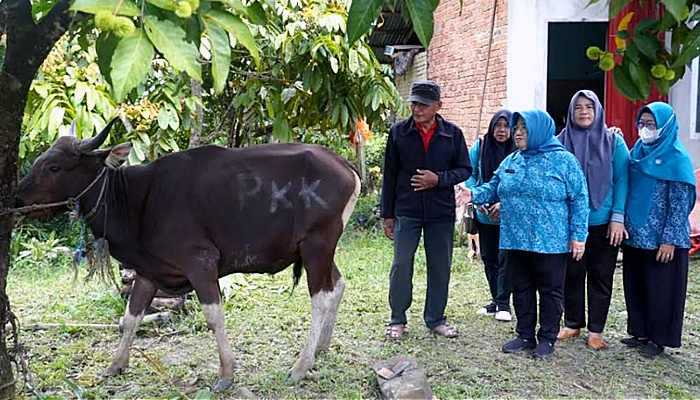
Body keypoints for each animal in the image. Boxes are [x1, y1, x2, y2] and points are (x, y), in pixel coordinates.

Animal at [15, 117, 360, 390]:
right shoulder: (148, 271)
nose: (17, 199)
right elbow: (130, 318)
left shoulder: (200, 261)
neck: (136, 202)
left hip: (317, 244)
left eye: (54, 167)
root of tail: (347, 167)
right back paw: (320, 349)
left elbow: (214, 316)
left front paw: (226, 374)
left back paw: (301, 366)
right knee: (338, 285)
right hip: (319, 248)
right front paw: (116, 365)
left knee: (321, 297)